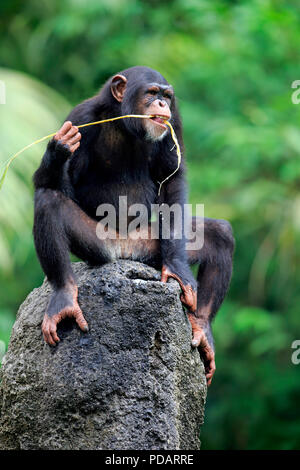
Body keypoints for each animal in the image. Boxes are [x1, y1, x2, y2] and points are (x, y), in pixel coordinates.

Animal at [32, 65, 234, 386]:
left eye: (167, 96)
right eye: (151, 93)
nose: (161, 103)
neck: (126, 124)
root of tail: (124, 251)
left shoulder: (174, 121)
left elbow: (173, 178)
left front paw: (177, 268)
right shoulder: (80, 117)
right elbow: (57, 186)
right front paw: (59, 147)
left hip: (148, 247)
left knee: (220, 236)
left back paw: (202, 329)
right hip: (98, 245)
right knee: (48, 200)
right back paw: (64, 297)